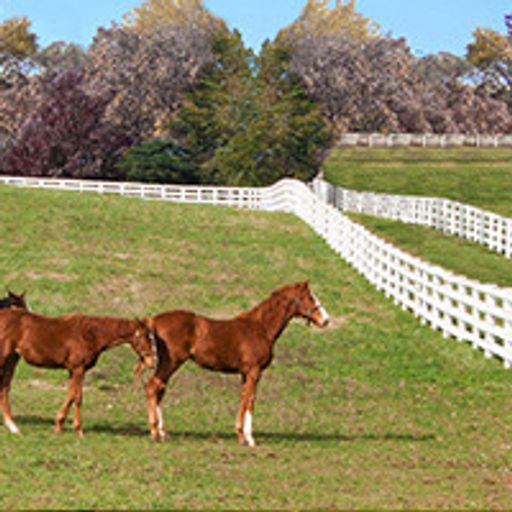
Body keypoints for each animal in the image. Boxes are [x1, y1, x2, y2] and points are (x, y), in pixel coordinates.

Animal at [0, 308, 156, 436]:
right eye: (144, 337)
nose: (152, 362)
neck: (90, 334)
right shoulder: (78, 369)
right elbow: (78, 397)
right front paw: (79, 430)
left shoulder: (73, 371)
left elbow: (71, 395)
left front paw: (59, 425)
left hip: (12, 359)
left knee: (5, 388)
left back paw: (13, 427)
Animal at [146, 282, 330, 446]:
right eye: (310, 297)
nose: (326, 320)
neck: (261, 328)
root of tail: (154, 320)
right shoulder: (254, 371)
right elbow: (250, 401)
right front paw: (249, 438)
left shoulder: (245, 373)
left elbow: (243, 398)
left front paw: (241, 435)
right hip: (171, 362)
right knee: (153, 385)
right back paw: (155, 432)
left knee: (159, 389)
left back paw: (162, 432)